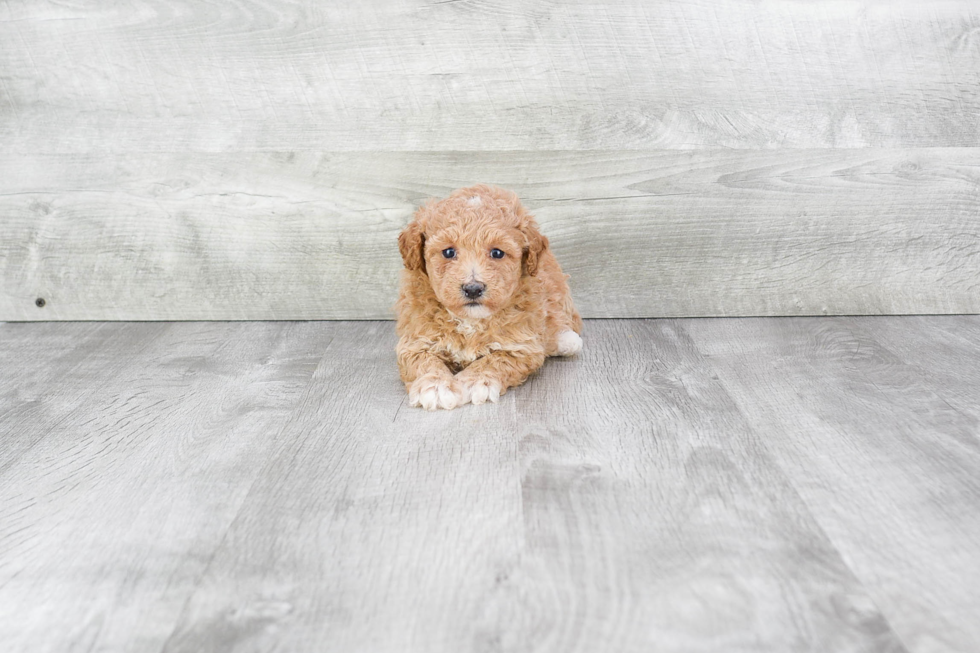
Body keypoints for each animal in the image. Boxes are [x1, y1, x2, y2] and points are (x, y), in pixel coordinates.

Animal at [396, 183, 580, 408]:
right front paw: (435, 386)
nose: (473, 288)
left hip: (557, 289)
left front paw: (475, 381)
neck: (470, 321)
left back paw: (566, 340)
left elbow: (496, 360)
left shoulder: (521, 347)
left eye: (497, 253)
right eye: (448, 252)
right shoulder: (415, 340)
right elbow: (423, 361)